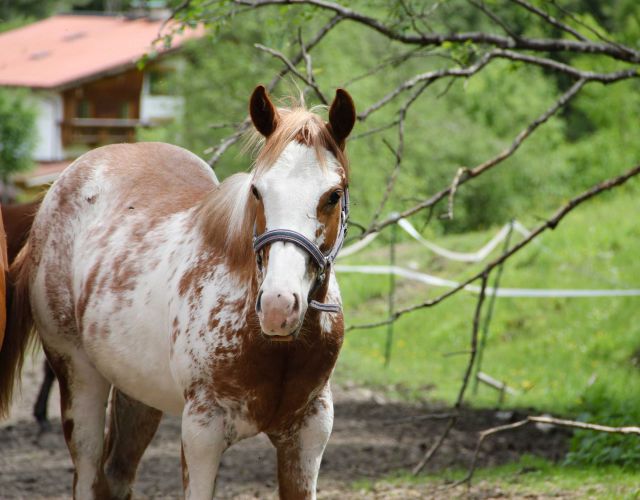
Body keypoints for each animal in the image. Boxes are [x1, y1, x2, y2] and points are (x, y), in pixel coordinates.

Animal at [0, 85, 356, 499]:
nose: (278, 307)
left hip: (137, 393)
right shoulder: (203, 433)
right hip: (79, 378)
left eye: (333, 194)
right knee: (88, 474)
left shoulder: (308, 433)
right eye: (257, 190)